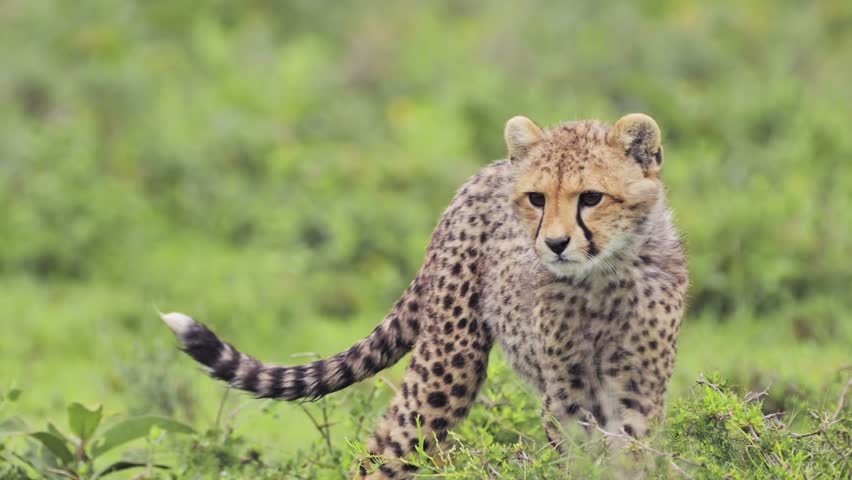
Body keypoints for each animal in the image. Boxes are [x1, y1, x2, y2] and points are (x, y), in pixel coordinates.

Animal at [161, 113, 688, 479]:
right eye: (537, 198)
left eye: (591, 197)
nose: (555, 244)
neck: (603, 277)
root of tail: (484, 173)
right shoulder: (566, 396)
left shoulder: (638, 391)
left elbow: (634, 457)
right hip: (448, 364)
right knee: (382, 452)